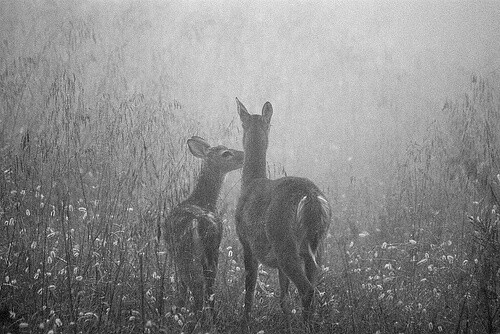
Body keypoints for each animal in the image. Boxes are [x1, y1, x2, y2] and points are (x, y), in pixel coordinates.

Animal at [164, 136, 244, 328]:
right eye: (226, 153)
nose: (244, 155)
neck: (202, 200)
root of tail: (197, 222)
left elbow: (182, 287)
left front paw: (178, 311)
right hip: (210, 250)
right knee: (209, 286)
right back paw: (209, 319)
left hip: (186, 253)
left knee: (197, 285)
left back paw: (194, 320)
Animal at [235, 98, 332, 330]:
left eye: (241, 124)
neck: (250, 183)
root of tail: (310, 196)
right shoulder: (278, 265)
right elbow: (283, 298)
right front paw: (286, 321)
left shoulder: (246, 242)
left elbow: (249, 289)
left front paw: (245, 322)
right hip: (316, 246)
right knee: (314, 284)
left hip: (283, 240)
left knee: (307, 289)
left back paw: (305, 327)